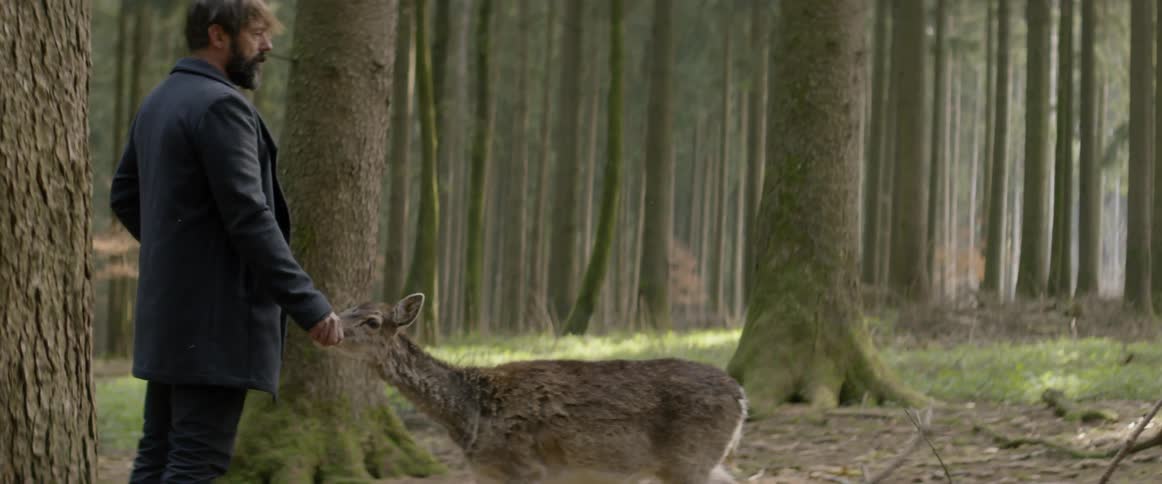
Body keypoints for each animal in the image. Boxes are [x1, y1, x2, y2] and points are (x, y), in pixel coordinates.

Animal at [331, 293, 748, 484]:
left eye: (372, 321)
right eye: (349, 307)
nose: (331, 328)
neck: (469, 417)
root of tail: (742, 396)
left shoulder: (526, 467)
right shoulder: (487, 473)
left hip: (688, 460)